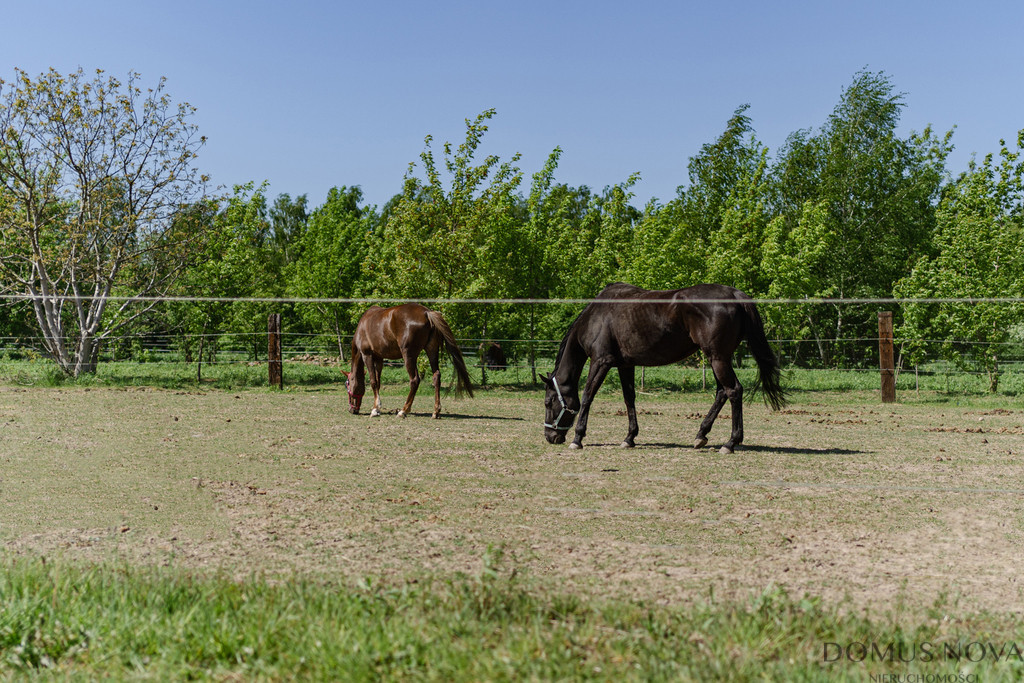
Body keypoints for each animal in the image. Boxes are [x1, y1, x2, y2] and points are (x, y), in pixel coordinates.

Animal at [342, 303, 473, 417]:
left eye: (347, 384)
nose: (352, 410)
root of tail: (426, 312)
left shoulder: (367, 355)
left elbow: (373, 381)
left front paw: (375, 410)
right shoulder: (379, 359)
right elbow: (378, 382)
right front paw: (377, 407)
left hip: (408, 356)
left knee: (414, 380)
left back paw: (404, 410)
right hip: (431, 351)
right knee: (436, 376)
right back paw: (435, 411)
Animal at [540, 282, 786, 454]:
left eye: (548, 402)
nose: (549, 437)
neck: (597, 316)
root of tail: (734, 294)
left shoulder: (601, 361)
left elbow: (587, 395)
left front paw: (578, 438)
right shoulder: (625, 364)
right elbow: (629, 398)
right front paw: (629, 438)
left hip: (718, 358)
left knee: (733, 391)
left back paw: (730, 442)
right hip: (718, 359)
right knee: (721, 392)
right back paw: (701, 435)